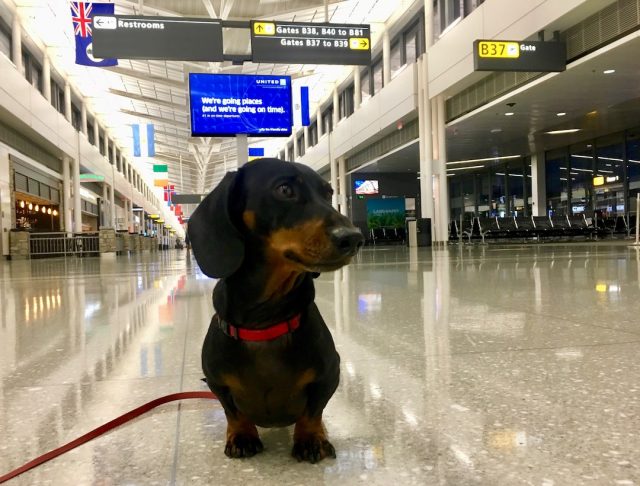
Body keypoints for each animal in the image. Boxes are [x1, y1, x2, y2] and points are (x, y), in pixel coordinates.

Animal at [188, 159, 362, 464]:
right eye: (284, 189)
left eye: (329, 193)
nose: (354, 238)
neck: (266, 320)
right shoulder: (216, 382)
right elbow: (232, 412)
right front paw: (241, 435)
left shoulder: (330, 374)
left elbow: (313, 411)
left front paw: (311, 438)